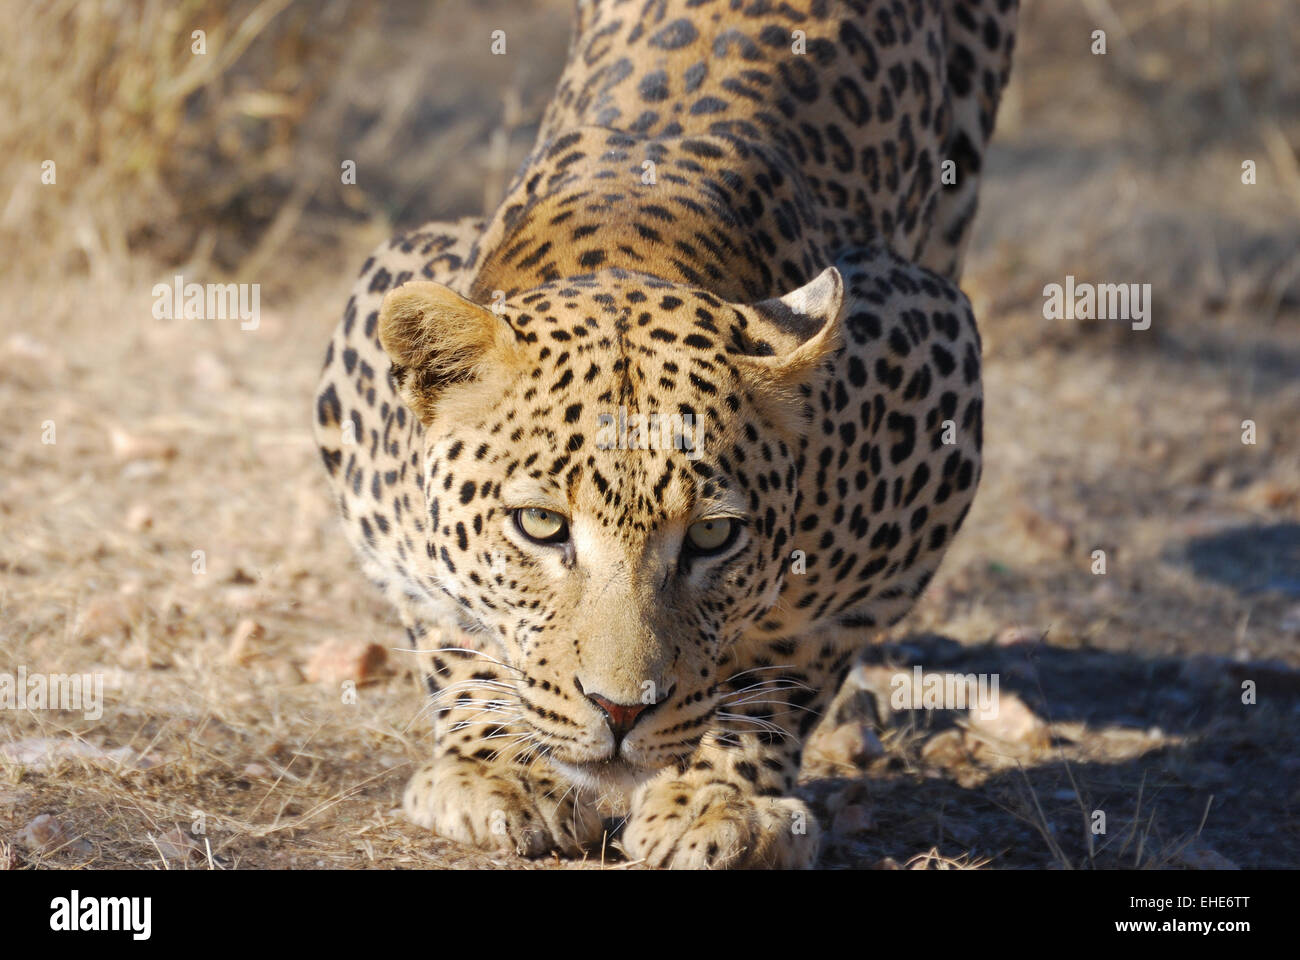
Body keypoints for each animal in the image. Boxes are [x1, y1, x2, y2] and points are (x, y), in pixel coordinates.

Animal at [312, 0, 1013, 868]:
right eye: (539, 526)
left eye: (713, 538)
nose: (620, 712)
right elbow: (452, 620)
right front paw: (496, 770)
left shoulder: (937, 380)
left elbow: (779, 653)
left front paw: (722, 797)